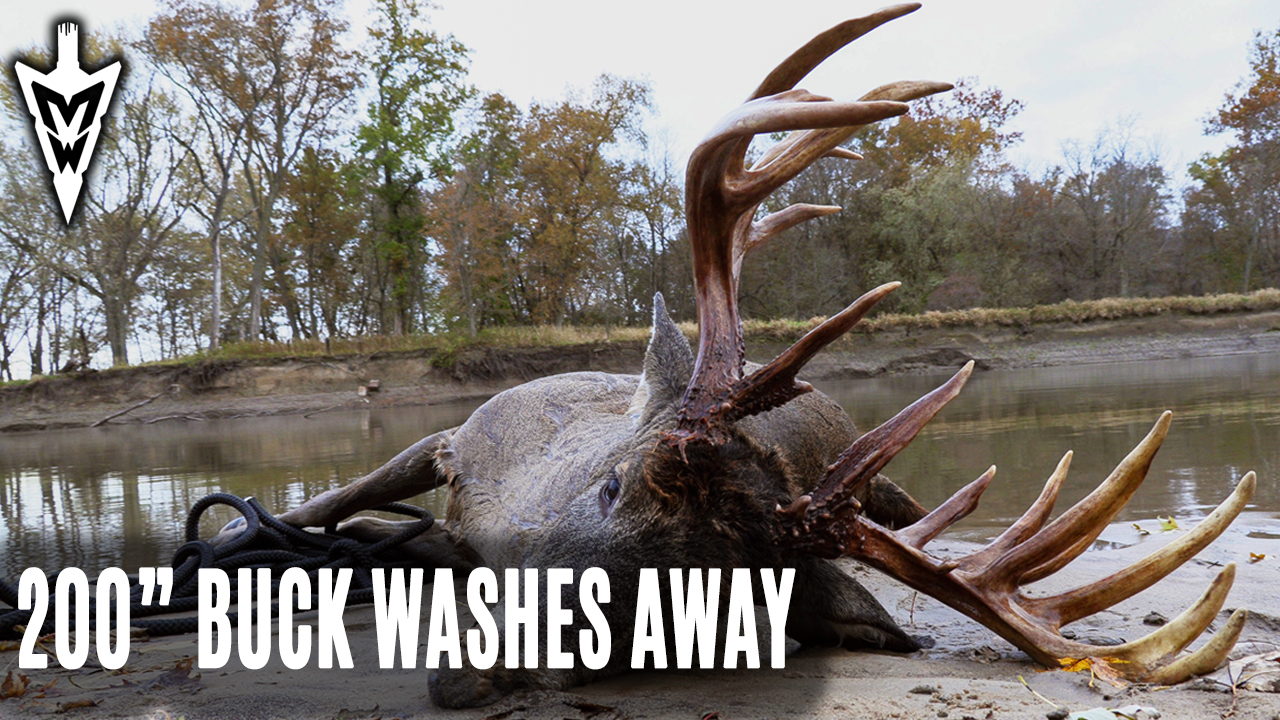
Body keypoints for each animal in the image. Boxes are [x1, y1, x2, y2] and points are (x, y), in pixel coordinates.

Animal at [234, 3, 1256, 708]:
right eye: (615, 484)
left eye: (721, 591)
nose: (486, 672)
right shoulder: (463, 436)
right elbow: (331, 500)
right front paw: (252, 539)